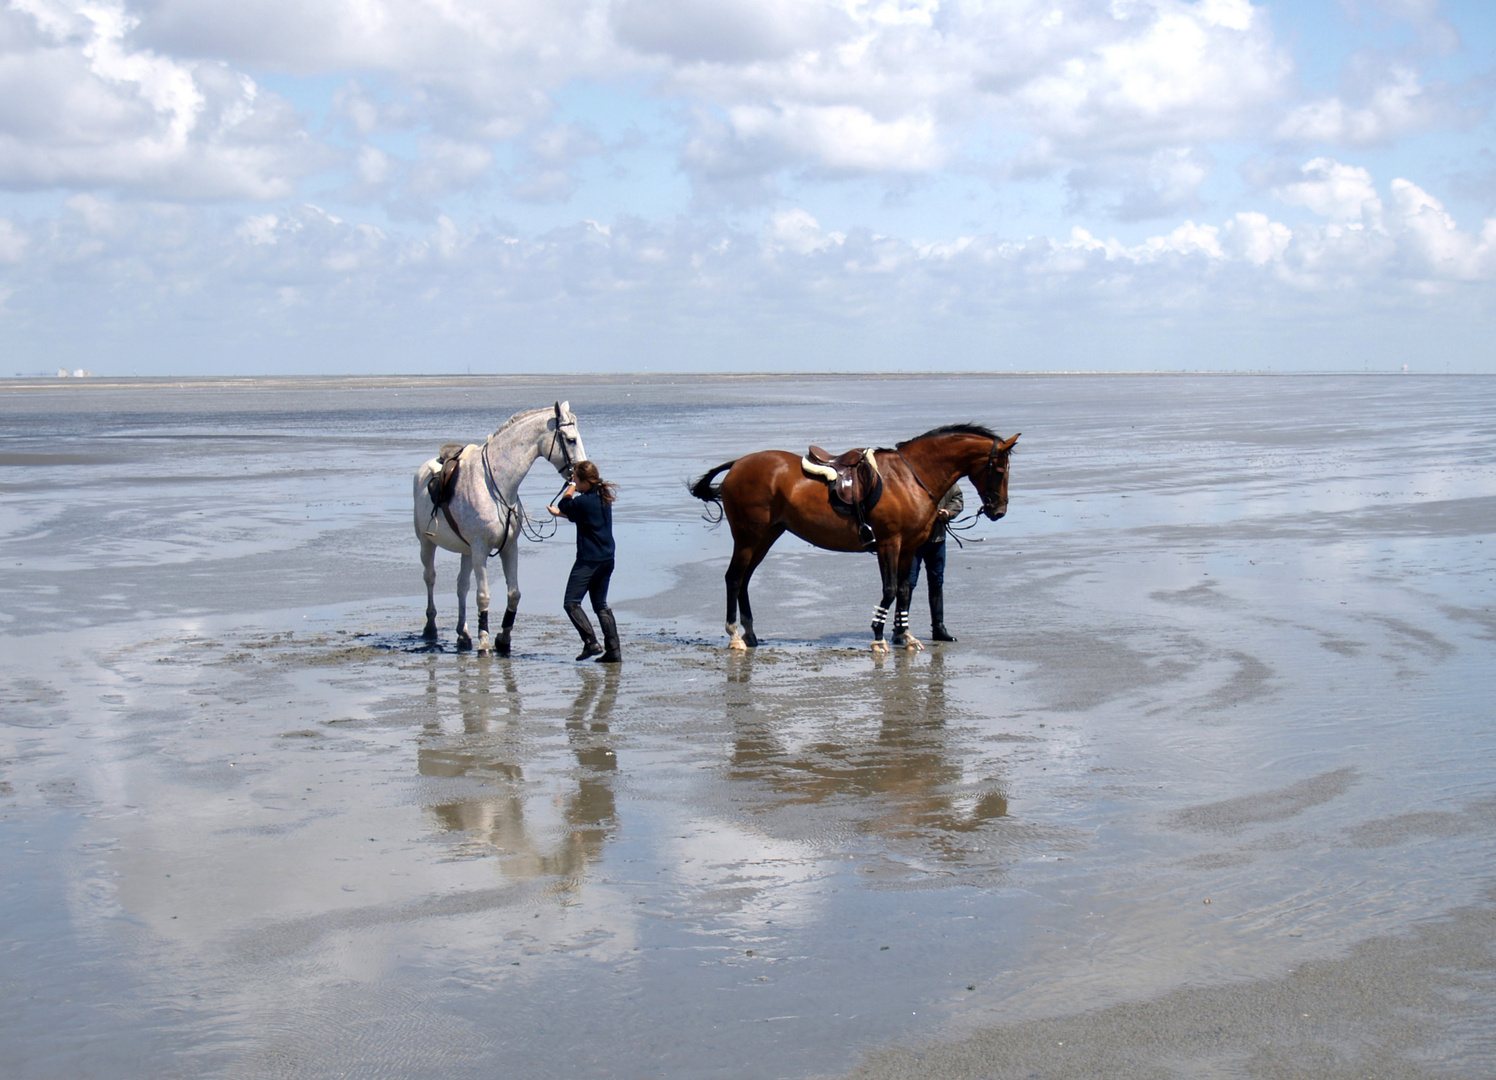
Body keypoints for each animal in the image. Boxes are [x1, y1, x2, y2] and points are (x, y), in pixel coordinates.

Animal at [421, 400, 589, 652]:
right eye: (570, 439)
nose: (581, 472)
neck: (496, 484)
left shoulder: (509, 547)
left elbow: (514, 594)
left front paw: (503, 638)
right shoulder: (480, 549)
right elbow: (483, 595)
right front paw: (484, 641)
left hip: (465, 551)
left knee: (462, 586)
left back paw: (463, 634)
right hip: (427, 543)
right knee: (430, 578)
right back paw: (430, 627)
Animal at [685, 421, 1017, 649]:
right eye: (1000, 470)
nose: (999, 510)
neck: (910, 476)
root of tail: (738, 464)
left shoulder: (909, 547)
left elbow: (904, 591)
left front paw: (906, 635)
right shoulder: (889, 543)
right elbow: (890, 590)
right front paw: (879, 637)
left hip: (767, 536)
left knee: (744, 580)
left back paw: (751, 634)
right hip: (748, 537)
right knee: (734, 578)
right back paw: (735, 636)